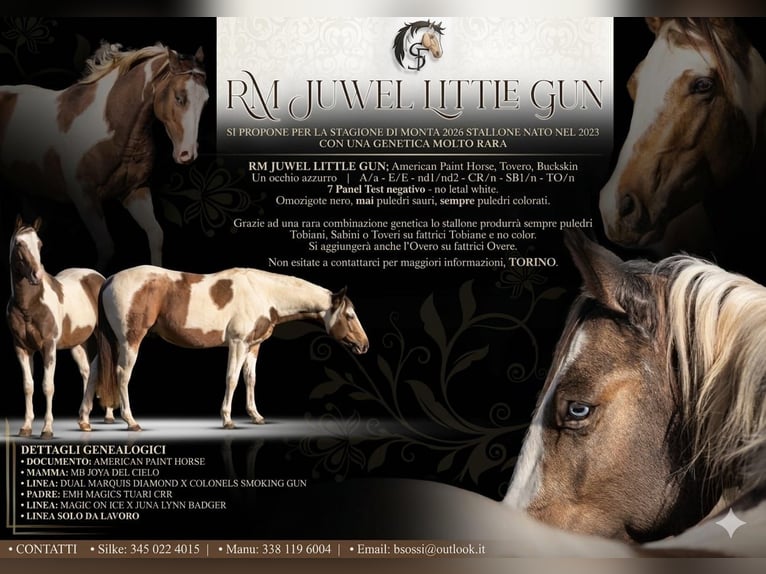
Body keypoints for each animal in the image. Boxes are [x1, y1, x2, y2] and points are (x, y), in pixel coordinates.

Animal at [0, 41, 209, 270]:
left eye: (205, 100)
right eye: (179, 98)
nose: (187, 154)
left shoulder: (135, 192)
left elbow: (156, 235)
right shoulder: (86, 199)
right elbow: (106, 247)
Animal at [6, 216, 108, 438]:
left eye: (39, 244)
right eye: (19, 243)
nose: (36, 275)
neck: (30, 305)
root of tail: (101, 278)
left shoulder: (49, 347)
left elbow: (48, 386)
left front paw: (47, 429)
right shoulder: (22, 348)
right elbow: (28, 386)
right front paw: (26, 427)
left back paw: (109, 417)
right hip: (78, 345)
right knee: (87, 371)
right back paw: (84, 420)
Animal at [77, 265, 369, 432]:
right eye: (350, 316)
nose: (364, 345)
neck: (263, 293)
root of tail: (110, 279)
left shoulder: (253, 346)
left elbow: (250, 379)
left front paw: (256, 416)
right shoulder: (238, 343)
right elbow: (231, 379)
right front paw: (228, 419)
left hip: (112, 341)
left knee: (94, 372)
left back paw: (85, 421)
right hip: (129, 341)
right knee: (121, 375)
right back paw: (131, 421)